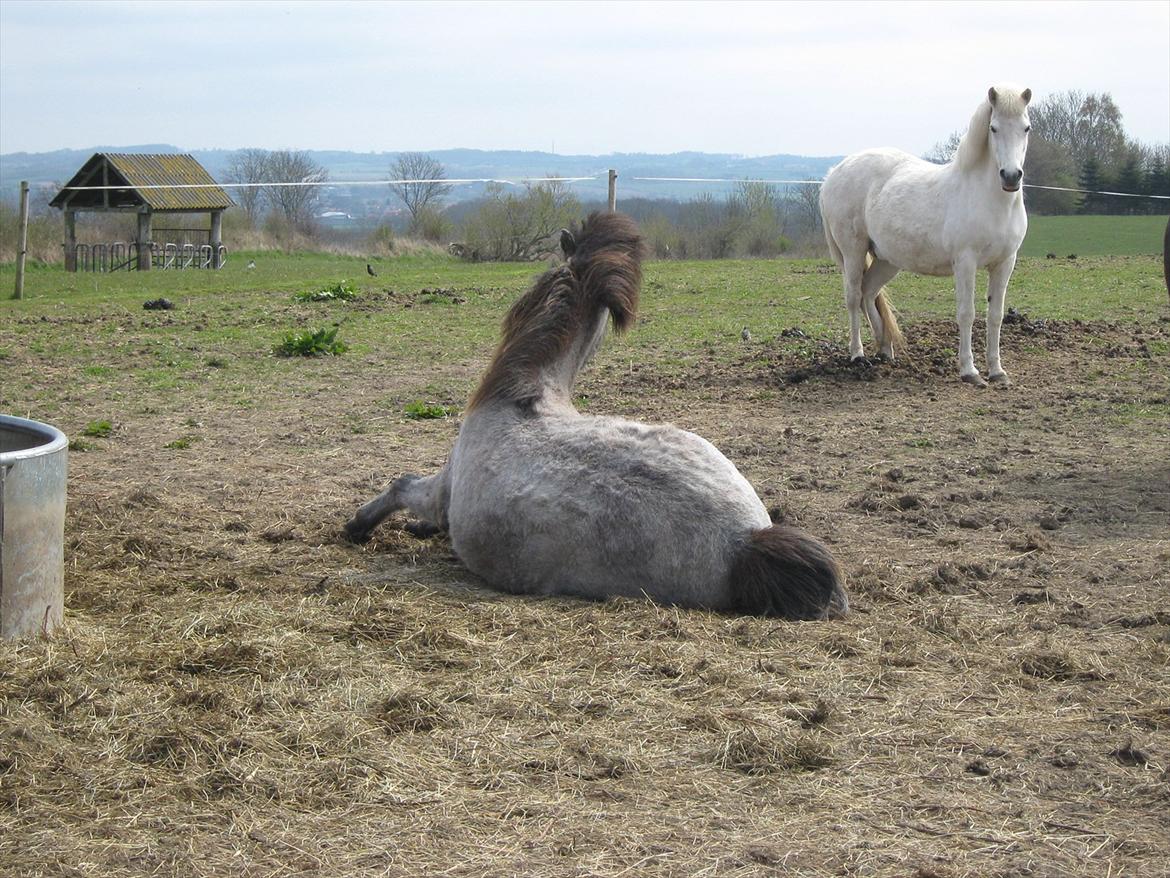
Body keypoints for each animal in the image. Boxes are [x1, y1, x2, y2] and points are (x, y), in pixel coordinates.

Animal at [819, 84, 1029, 383]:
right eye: (994, 128)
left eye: (1026, 128)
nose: (1011, 176)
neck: (988, 198)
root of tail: (833, 174)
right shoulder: (965, 262)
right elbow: (967, 313)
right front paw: (970, 371)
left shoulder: (1004, 263)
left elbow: (995, 315)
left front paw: (998, 371)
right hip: (853, 252)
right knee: (852, 297)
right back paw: (858, 355)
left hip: (887, 260)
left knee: (868, 293)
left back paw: (885, 350)